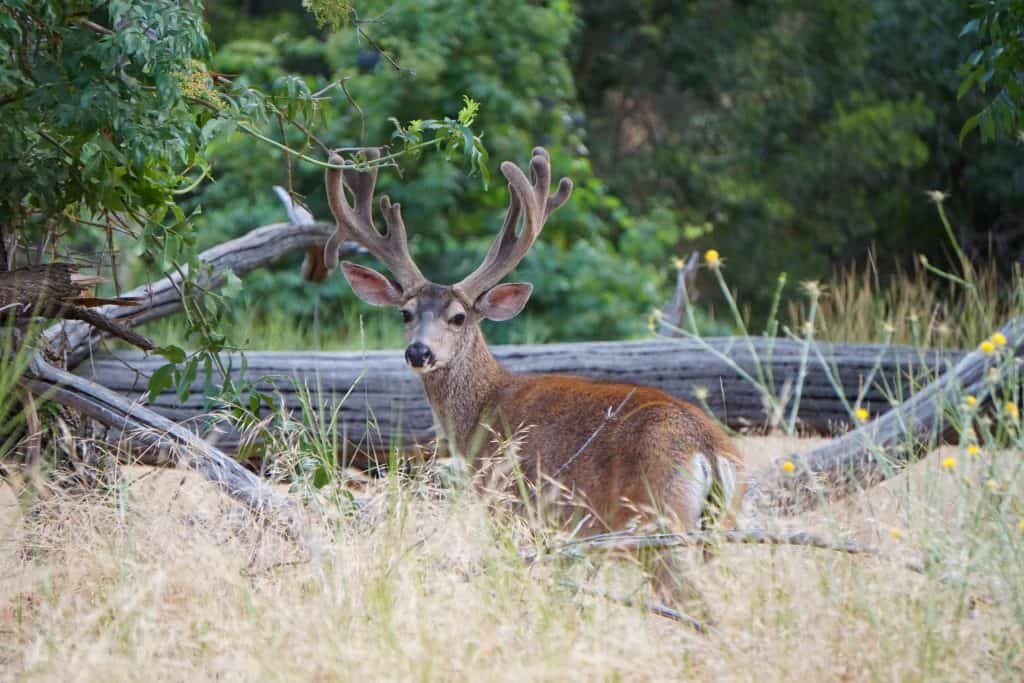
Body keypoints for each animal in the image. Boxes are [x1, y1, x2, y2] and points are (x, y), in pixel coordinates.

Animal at [321, 146, 743, 609]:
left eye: (459, 317)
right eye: (405, 313)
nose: (419, 352)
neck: (484, 409)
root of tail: (710, 449)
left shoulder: (507, 505)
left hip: (660, 523)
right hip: (718, 529)